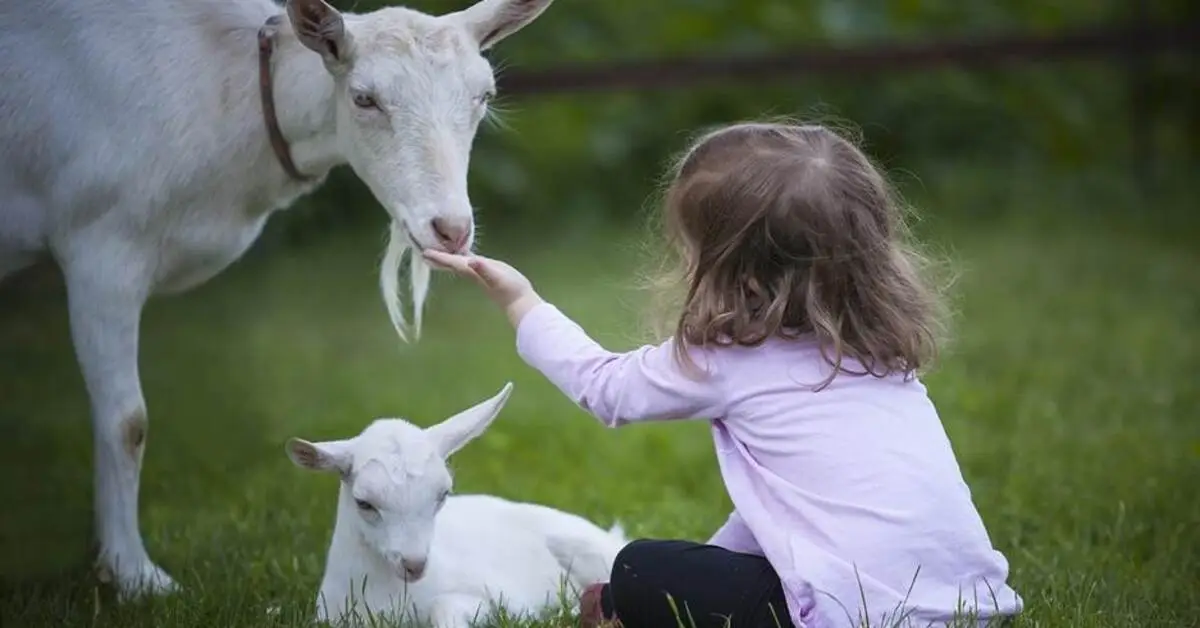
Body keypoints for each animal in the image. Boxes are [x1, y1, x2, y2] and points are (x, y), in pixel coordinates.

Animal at [0, 0, 556, 598]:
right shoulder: (102, 244)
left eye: (484, 96)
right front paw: (135, 575)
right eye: (364, 98)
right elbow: (128, 422)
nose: (451, 230)